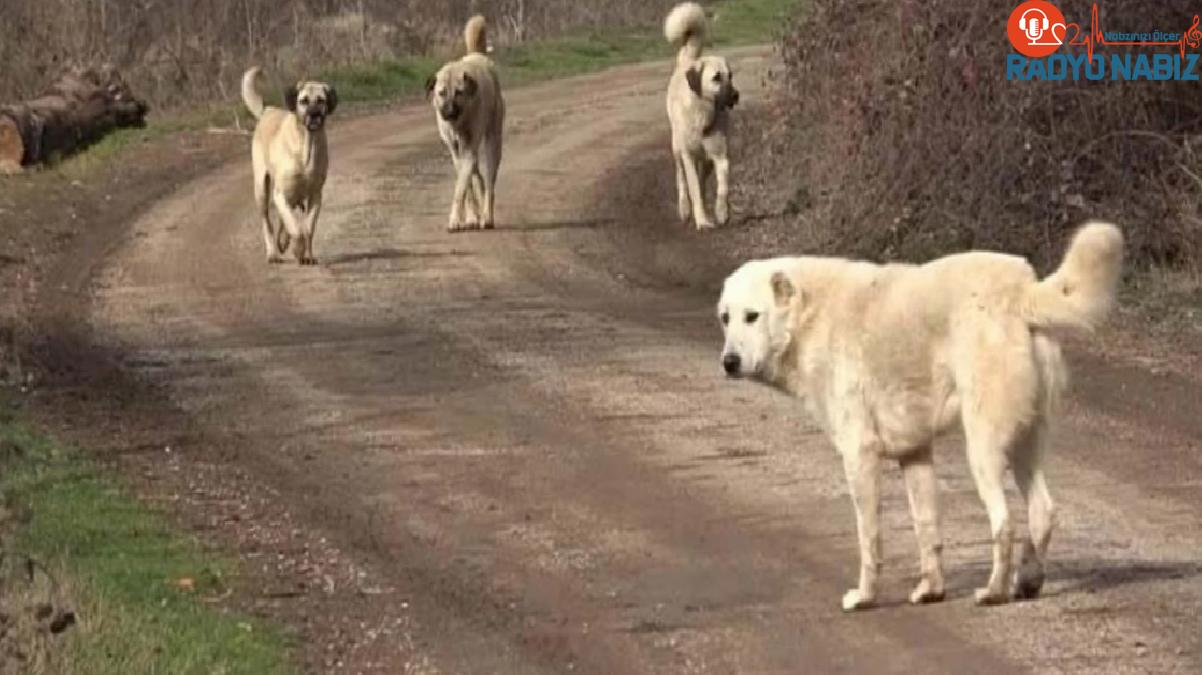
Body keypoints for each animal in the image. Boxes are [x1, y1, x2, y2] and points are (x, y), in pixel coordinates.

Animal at [239, 66, 336, 263]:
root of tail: (267, 109)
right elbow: (296, 229)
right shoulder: (280, 194)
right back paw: (273, 252)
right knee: (268, 223)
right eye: (303, 101)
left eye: (321, 100)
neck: (307, 146)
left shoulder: (315, 196)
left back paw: (283, 241)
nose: (314, 115)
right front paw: (298, 250)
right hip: (262, 191)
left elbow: (308, 228)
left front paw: (308, 255)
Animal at [425, 16, 504, 230]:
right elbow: (466, 186)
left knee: (490, 183)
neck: (458, 123)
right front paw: (469, 217)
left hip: (493, 143)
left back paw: (487, 216)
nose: (449, 112)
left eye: (459, 92)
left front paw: (455, 219)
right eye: (441, 93)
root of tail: (478, 55)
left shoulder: (468, 150)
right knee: (478, 177)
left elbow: (460, 188)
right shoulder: (456, 152)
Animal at [663, 1, 735, 228]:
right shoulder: (688, 156)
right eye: (716, 78)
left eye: (731, 76)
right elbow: (692, 186)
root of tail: (689, 61)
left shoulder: (720, 156)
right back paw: (685, 209)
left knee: (703, 181)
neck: (703, 113)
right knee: (682, 180)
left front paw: (721, 212)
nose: (736, 96)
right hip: (677, 149)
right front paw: (702, 221)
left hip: (706, 161)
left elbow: (723, 187)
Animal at [711, 222, 1125, 610]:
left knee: (1004, 522)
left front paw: (865, 597)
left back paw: (993, 591)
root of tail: (1021, 288)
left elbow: (869, 538)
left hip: (983, 449)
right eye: (725, 318)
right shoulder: (915, 454)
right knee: (1043, 512)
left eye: (753, 317)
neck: (809, 317)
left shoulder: (859, 455)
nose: (728, 363)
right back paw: (1028, 582)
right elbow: (927, 530)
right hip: (1024, 442)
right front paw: (931, 590)